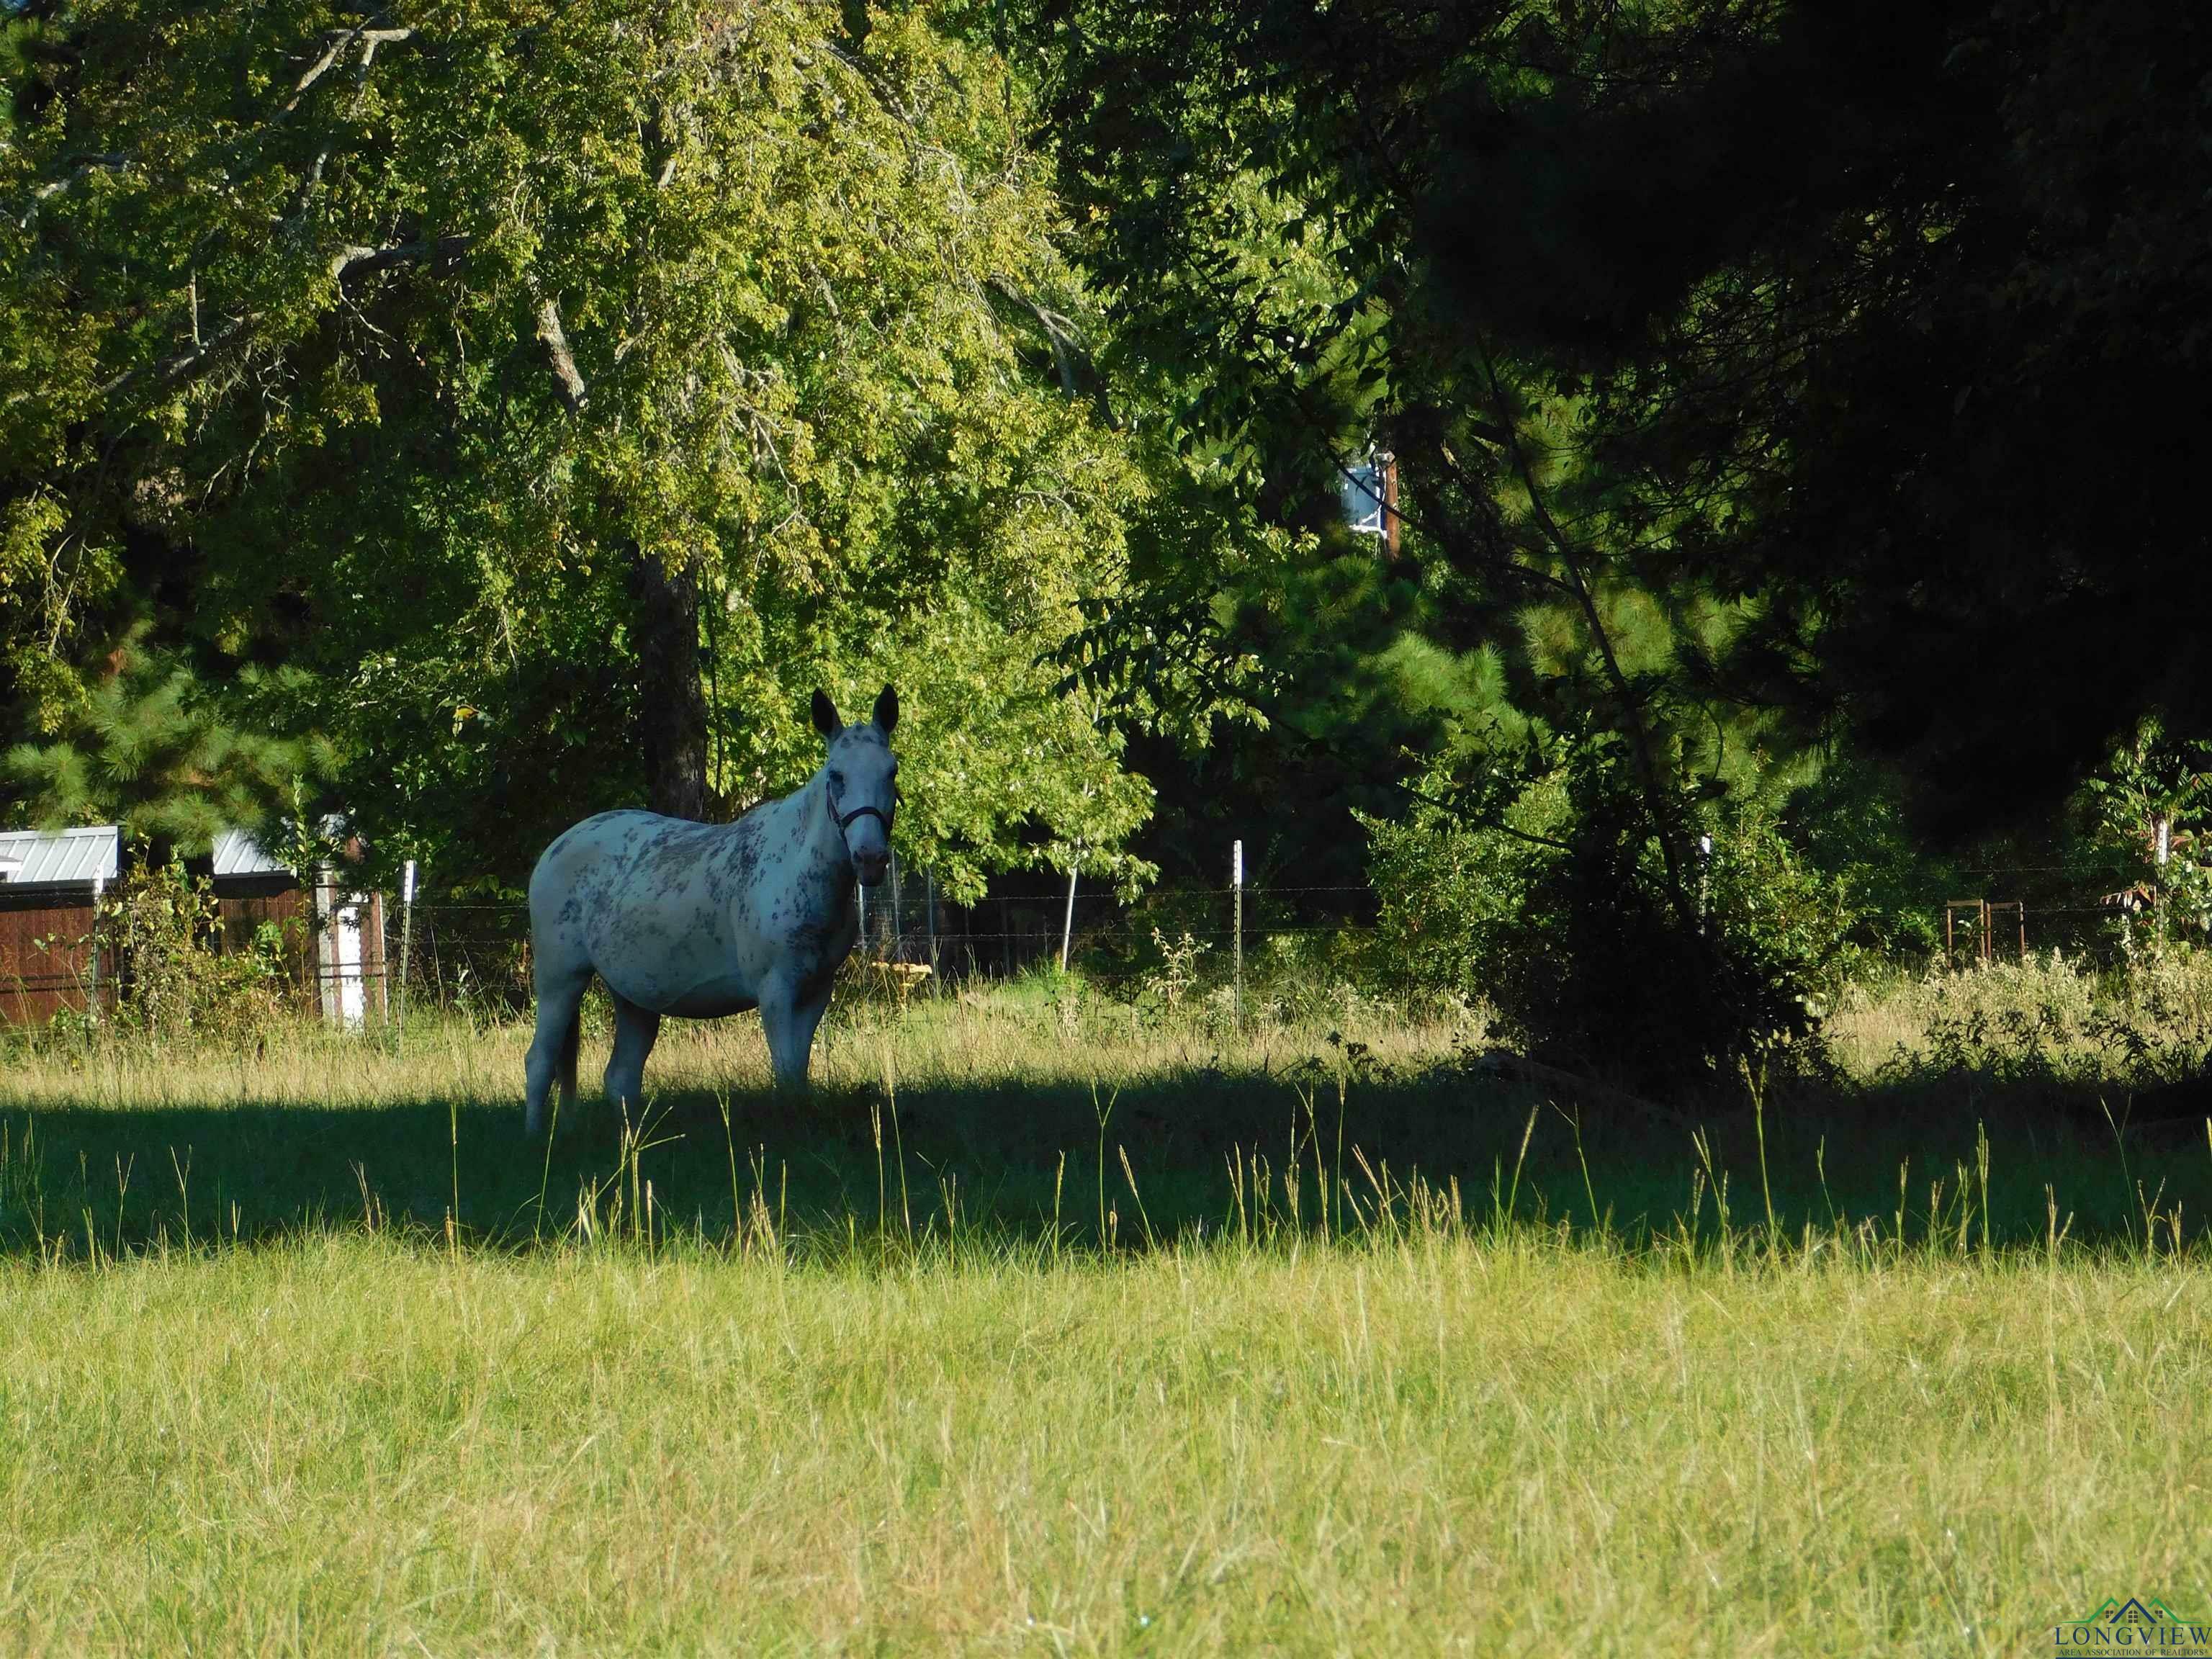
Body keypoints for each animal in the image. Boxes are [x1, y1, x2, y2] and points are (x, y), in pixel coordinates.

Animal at [519, 681, 898, 1141]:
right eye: (836, 776)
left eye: (891, 772)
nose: (870, 858)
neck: (795, 867)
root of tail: (555, 848)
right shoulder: (777, 991)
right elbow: (786, 1073)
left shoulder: (815, 992)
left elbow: (799, 1073)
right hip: (560, 981)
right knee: (540, 1062)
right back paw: (535, 1139)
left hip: (634, 997)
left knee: (621, 1078)